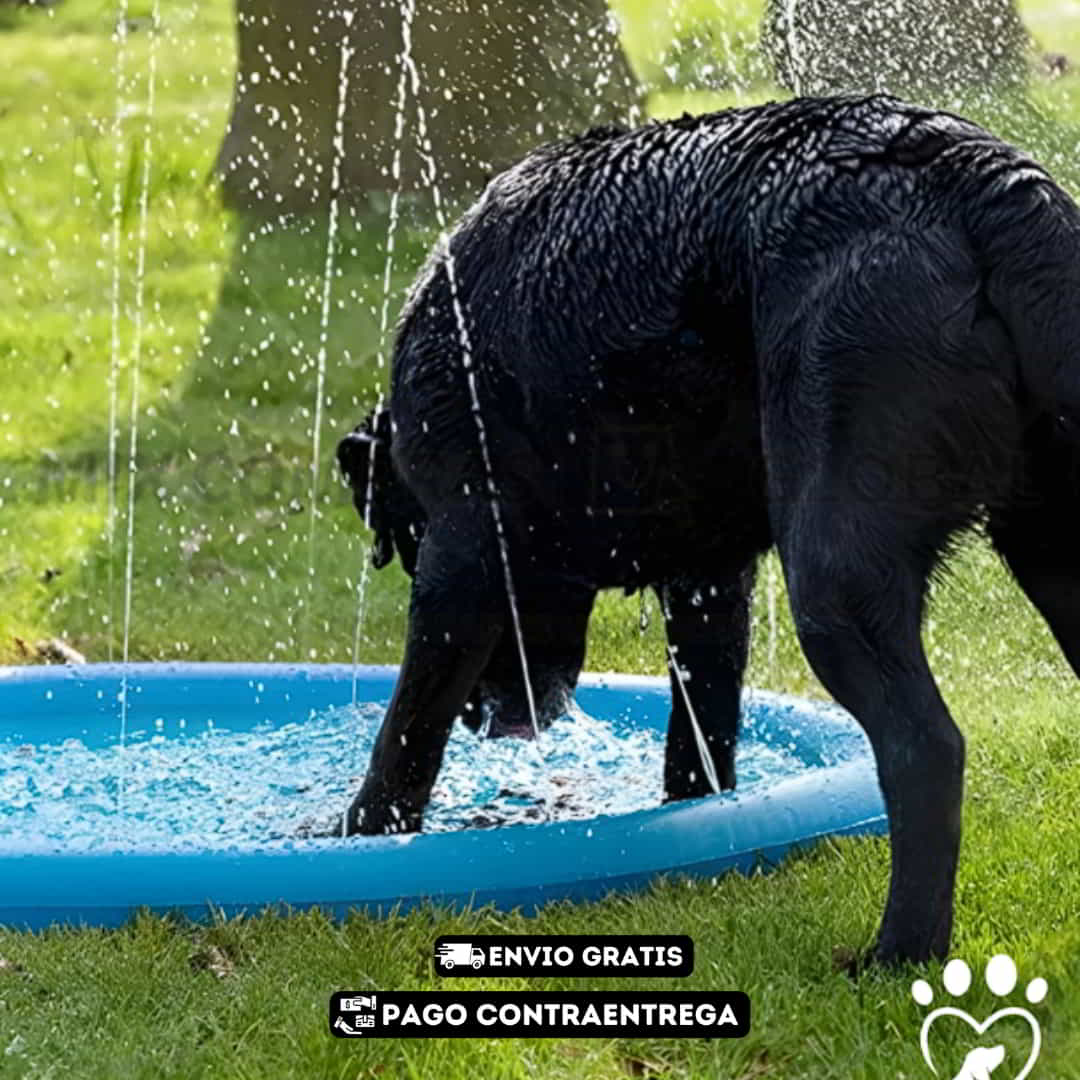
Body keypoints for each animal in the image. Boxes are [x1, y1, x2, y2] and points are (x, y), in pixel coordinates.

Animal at [339, 97, 1080, 967]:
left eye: (404, 543)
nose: (490, 718)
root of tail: (978, 177)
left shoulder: (462, 551)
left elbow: (407, 729)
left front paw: (352, 834)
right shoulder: (709, 575)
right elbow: (702, 729)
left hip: (836, 575)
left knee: (925, 747)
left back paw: (899, 952)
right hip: (1055, 546)